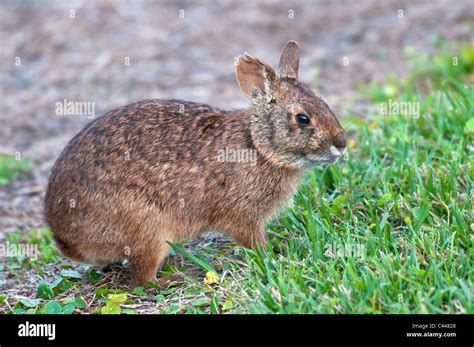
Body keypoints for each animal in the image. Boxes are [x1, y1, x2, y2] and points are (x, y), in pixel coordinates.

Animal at [44, 40, 346, 286]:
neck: (258, 146)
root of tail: (66, 239)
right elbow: (253, 241)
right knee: (142, 279)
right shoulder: (243, 217)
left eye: (323, 103)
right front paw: (271, 256)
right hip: (148, 228)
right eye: (303, 119)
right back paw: (172, 280)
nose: (341, 143)